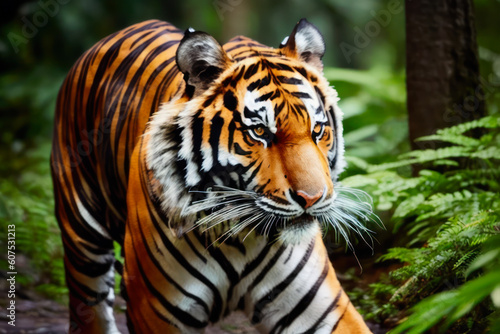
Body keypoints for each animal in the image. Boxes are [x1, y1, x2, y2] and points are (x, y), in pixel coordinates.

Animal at [49, 18, 376, 334]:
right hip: (83, 245)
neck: (241, 240)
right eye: (260, 132)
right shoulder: (154, 310)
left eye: (317, 130)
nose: (312, 198)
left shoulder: (321, 309)